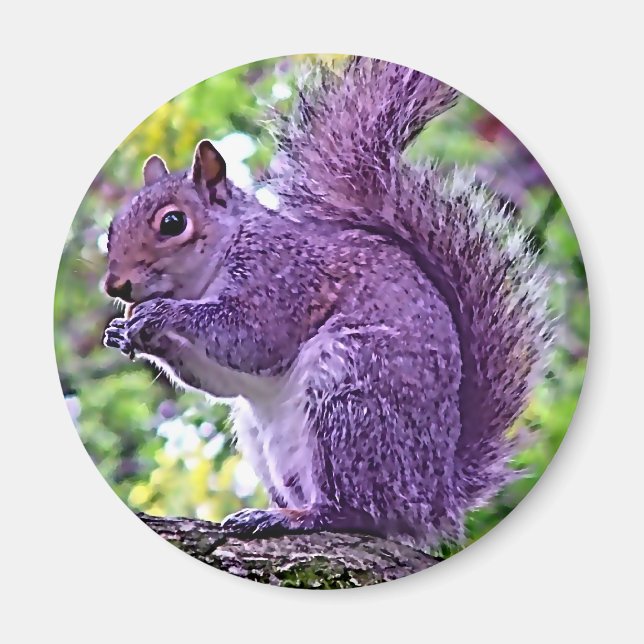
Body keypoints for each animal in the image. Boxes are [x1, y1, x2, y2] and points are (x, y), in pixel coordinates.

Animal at [103, 57, 550, 547]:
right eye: (112, 228)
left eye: (173, 223)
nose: (114, 286)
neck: (217, 260)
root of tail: (433, 501)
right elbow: (224, 379)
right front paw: (127, 334)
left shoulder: (282, 278)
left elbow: (253, 338)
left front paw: (164, 314)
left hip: (349, 396)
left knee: (357, 510)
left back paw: (294, 518)